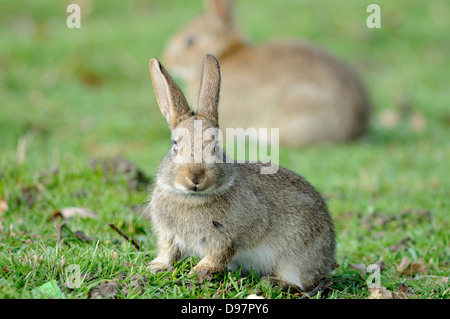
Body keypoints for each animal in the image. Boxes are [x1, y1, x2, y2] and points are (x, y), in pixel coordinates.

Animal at [146, 54, 336, 296]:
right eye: (174, 146)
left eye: (216, 147)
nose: (195, 177)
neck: (193, 198)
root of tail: (328, 258)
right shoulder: (169, 237)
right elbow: (168, 253)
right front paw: (155, 267)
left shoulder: (228, 237)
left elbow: (218, 256)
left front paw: (196, 272)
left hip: (296, 256)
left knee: (301, 282)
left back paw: (272, 282)